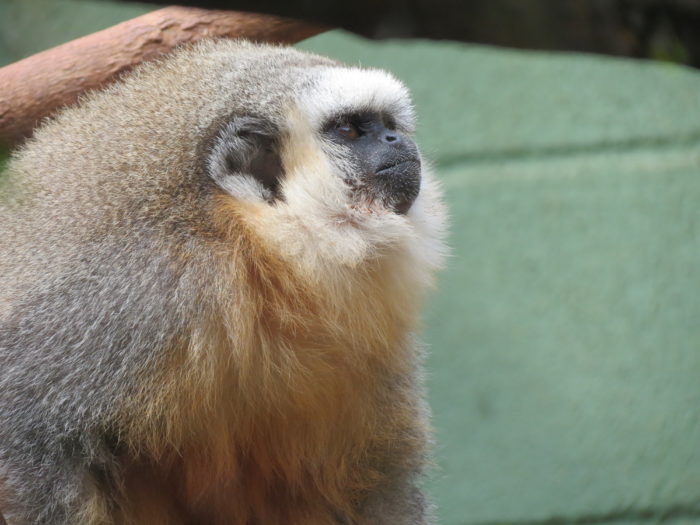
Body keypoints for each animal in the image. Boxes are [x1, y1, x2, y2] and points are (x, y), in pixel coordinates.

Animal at [0, 39, 446, 520]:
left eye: (387, 125)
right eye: (348, 130)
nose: (396, 139)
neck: (251, 252)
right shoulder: (145, 290)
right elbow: (20, 422)